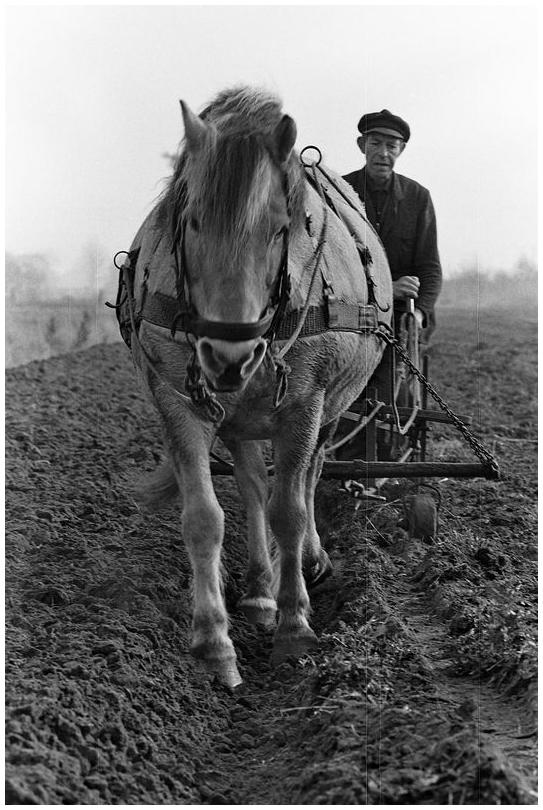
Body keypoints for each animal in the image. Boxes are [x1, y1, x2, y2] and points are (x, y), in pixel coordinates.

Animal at [117, 85, 394, 684]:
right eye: (193, 220)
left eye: (279, 227)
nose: (229, 355)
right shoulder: (179, 400)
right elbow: (205, 517)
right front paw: (214, 641)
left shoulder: (305, 404)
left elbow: (289, 510)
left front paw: (295, 628)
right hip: (239, 416)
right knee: (251, 484)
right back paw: (261, 592)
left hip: (327, 410)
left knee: (309, 478)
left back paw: (308, 565)